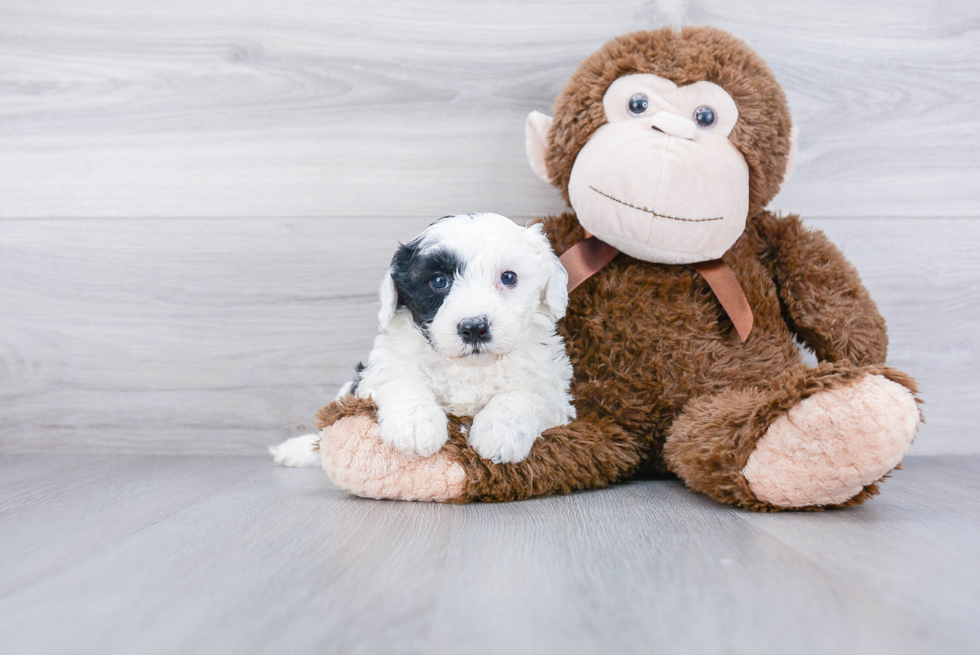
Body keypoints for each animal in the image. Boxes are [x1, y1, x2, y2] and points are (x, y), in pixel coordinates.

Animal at [270, 211, 576, 466]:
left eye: (509, 277)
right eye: (439, 281)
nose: (474, 327)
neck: (468, 369)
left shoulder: (550, 382)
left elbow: (526, 394)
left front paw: (501, 433)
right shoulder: (384, 367)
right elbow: (404, 382)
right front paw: (415, 426)